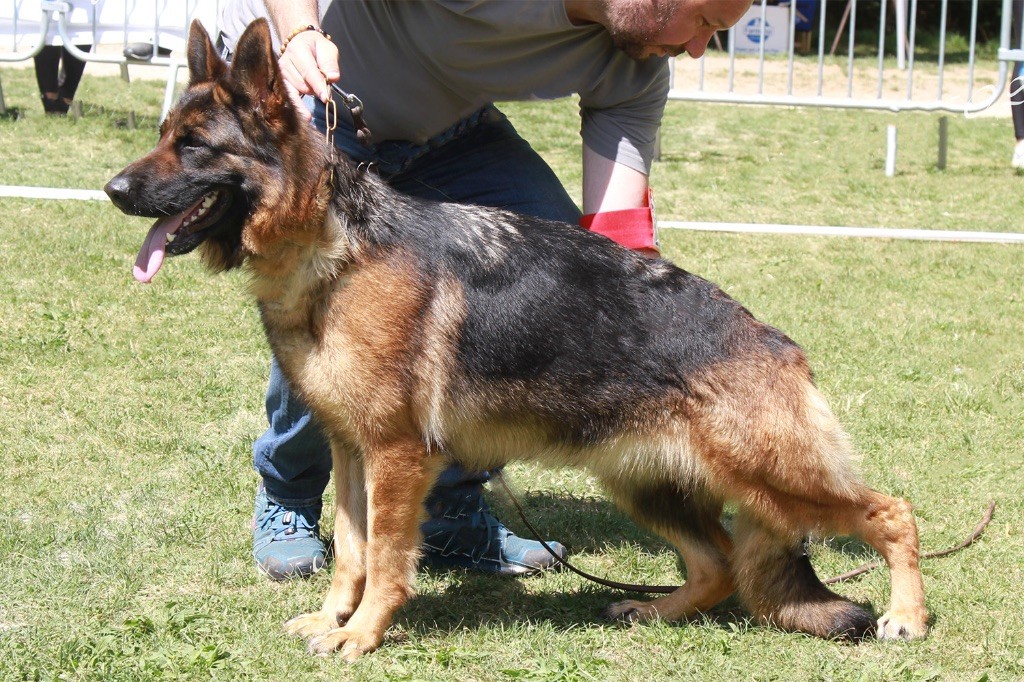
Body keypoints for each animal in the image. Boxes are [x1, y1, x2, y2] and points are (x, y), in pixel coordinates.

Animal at [105, 19, 929, 659]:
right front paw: (334, 618)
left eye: (195, 146)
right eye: (162, 137)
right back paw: (652, 610)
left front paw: (363, 634)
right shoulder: (350, 450)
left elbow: (386, 557)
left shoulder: (396, 456)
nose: (112, 190)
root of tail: (777, 342)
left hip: (770, 476)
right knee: (719, 565)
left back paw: (906, 616)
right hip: (649, 484)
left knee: (891, 511)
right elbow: (350, 550)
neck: (334, 247)